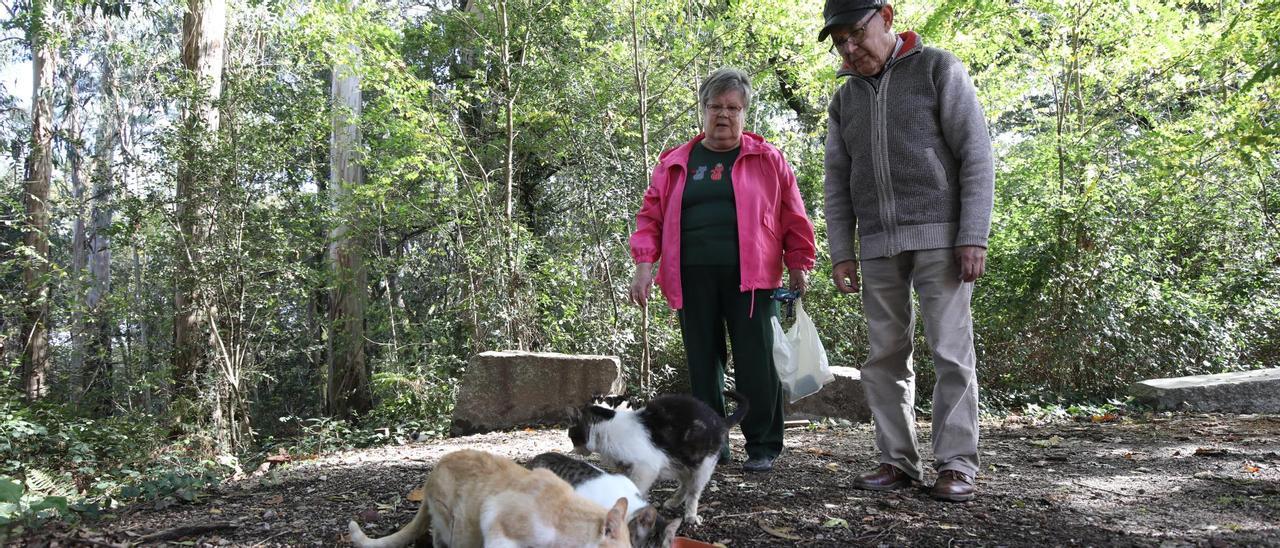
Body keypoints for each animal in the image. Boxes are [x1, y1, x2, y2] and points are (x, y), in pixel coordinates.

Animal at [565, 389, 747, 527]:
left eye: (572, 436)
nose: (574, 450)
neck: (606, 429)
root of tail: (720, 420)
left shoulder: (646, 467)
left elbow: (636, 486)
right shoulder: (625, 467)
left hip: (703, 465)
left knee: (693, 490)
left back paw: (691, 516)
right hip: (680, 462)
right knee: (685, 484)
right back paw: (673, 502)